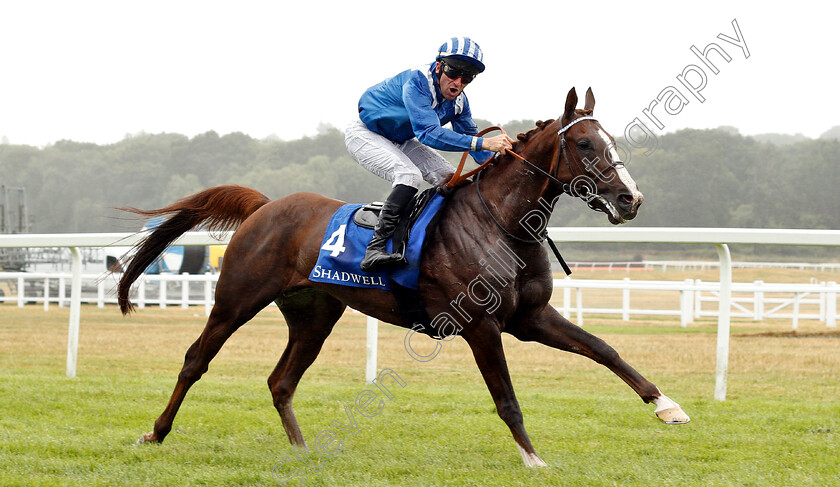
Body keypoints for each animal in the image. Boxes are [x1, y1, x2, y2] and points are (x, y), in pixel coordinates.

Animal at [123, 87, 688, 468]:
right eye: (587, 145)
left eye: (609, 140)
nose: (630, 199)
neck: (502, 222)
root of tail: (265, 206)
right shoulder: (481, 326)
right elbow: (506, 397)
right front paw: (533, 458)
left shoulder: (530, 317)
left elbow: (605, 350)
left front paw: (667, 406)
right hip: (236, 300)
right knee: (195, 361)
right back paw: (156, 432)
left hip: (314, 315)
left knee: (281, 380)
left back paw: (302, 451)